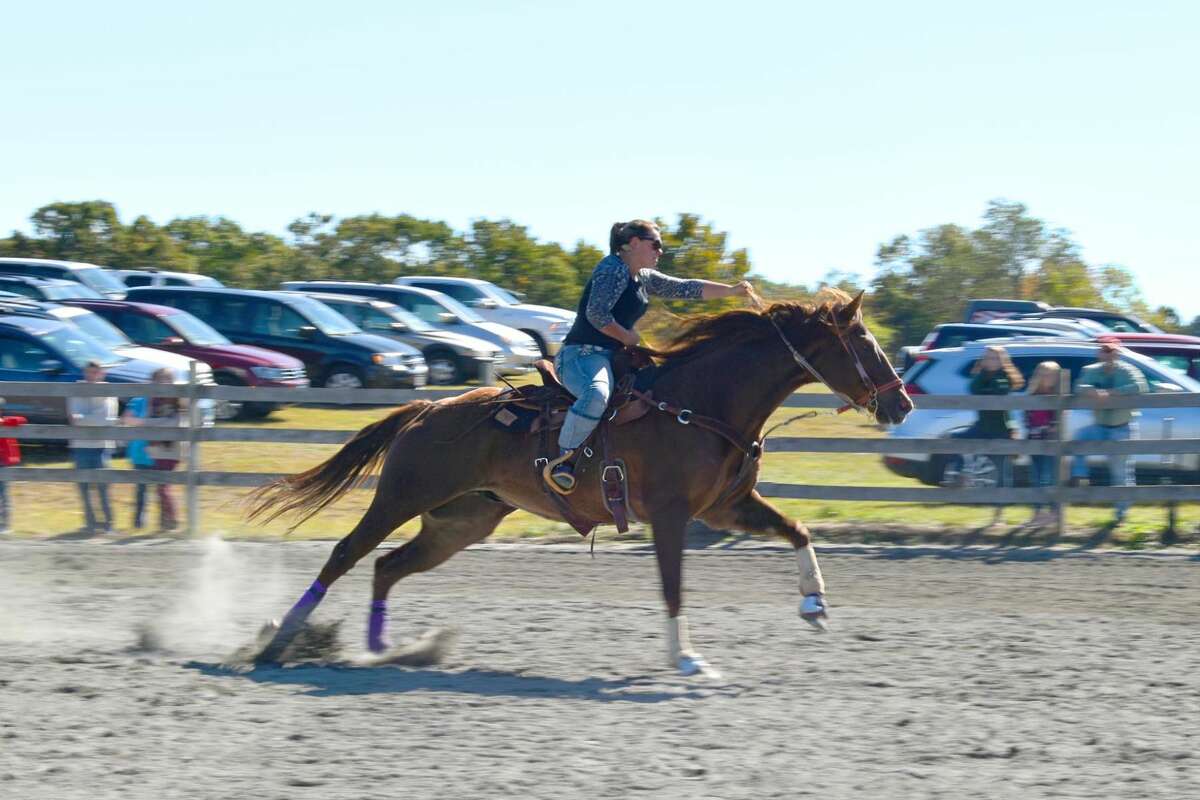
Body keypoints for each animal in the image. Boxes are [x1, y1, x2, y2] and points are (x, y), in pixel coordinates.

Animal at [248, 291, 912, 681]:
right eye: (863, 343)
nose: (902, 403)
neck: (699, 404)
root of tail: (427, 408)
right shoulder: (671, 515)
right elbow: (673, 587)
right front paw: (686, 657)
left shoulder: (727, 508)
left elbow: (797, 530)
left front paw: (815, 604)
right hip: (402, 497)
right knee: (344, 555)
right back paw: (275, 644)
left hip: (460, 522)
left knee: (387, 567)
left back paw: (382, 651)